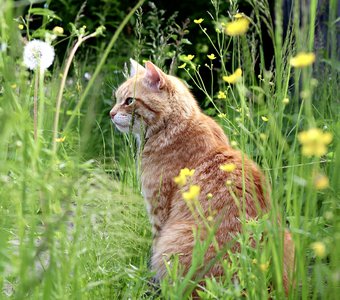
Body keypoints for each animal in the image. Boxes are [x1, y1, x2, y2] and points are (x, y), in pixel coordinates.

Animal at [110, 58, 294, 292]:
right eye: (117, 99)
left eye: (129, 101)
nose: (111, 114)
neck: (173, 126)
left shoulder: (158, 212)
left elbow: (153, 249)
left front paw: (151, 282)